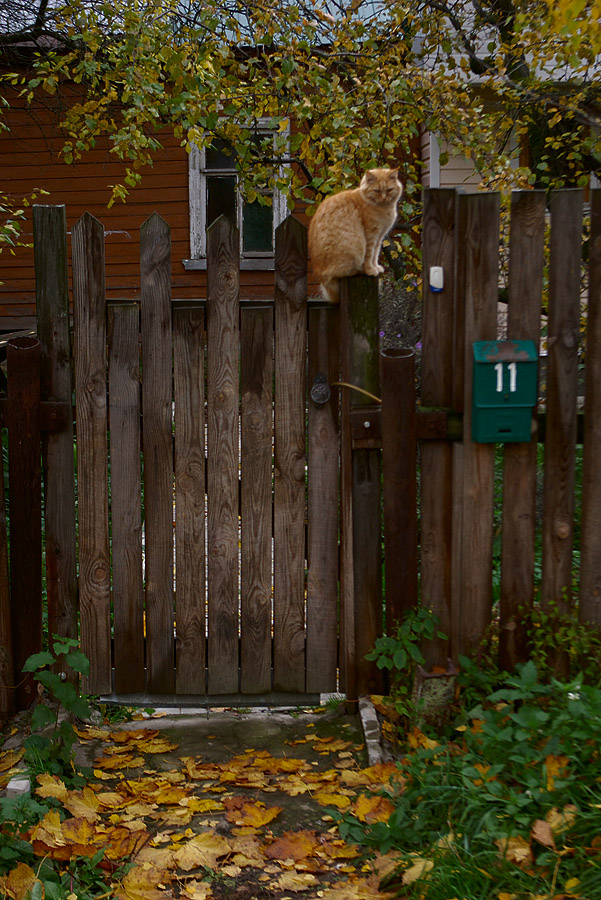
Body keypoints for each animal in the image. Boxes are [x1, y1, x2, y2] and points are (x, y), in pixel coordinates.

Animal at [308, 169, 400, 306]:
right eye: (377, 191)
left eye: (389, 190)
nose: (384, 198)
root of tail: (322, 279)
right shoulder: (371, 237)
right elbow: (369, 256)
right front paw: (370, 270)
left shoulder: (379, 238)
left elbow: (375, 255)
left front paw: (376, 267)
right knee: (345, 273)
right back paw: (360, 270)